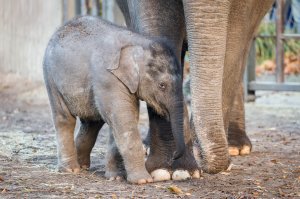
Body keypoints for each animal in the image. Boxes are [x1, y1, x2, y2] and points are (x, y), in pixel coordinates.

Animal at [43, 16, 185, 184]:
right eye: (162, 85)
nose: (175, 155)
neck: (138, 42)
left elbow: (121, 121)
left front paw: (116, 177)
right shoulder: (108, 78)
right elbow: (123, 121)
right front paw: (143, 181)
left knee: (91, 123)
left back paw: (82, 165)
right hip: (51, 77)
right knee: (65, 119)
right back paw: (71, 170)